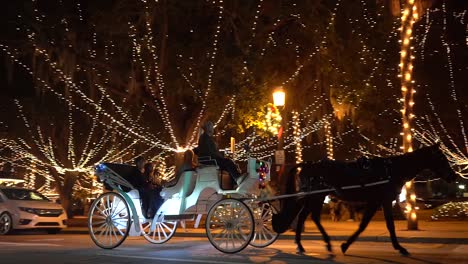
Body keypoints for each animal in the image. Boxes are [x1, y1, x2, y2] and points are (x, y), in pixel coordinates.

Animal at [270, 144, 458, 256]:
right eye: (441, 158)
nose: (452, 176)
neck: (392, 170)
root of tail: (307, 164)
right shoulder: (383, 200)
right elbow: (387, 225)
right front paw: (400, 247)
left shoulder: (376, 201)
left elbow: (364, 225)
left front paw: (345, 245)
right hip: (316, 196)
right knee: (308, 216)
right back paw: (314, 244)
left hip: (316, 196)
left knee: (306, 216)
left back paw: (306, 245)